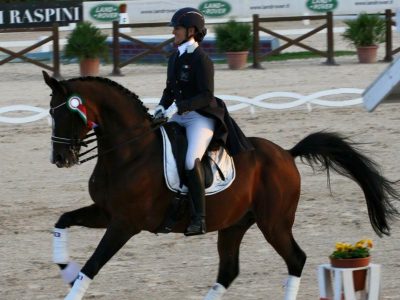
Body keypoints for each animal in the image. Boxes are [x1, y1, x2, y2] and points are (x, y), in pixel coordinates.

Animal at [41, 72, 400, 300]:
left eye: (68, 113)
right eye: (50, 113)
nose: (60, 158)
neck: (130, 152)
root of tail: (286, 153)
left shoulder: (124, 224)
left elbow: (93, 266)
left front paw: (73, 279)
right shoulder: (105, 213)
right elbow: (62, 221)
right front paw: (65, 268)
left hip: (274, 222)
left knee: (295, 259)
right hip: (234, 224)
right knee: (228, 270)